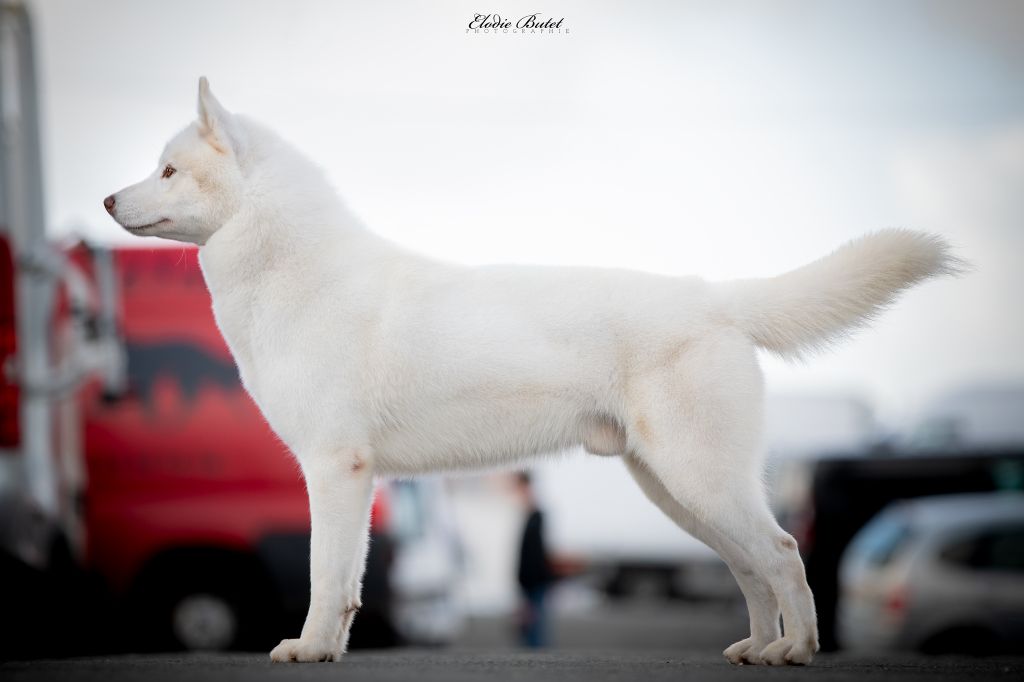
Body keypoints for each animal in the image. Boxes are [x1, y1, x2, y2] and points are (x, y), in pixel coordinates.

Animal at [105, 76, 958, 659]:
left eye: (170, 171)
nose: (109, 198)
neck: (291, 270)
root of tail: (716, 297)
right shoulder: (350, 478)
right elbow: (347, 585)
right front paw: (330, 650)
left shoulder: (335, 469)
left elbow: (323, 579)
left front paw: (309, 651)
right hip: (679, 492)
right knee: (753, 567)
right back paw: (759, 649)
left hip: (699, 479)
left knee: (782, 555)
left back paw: (797, 651)